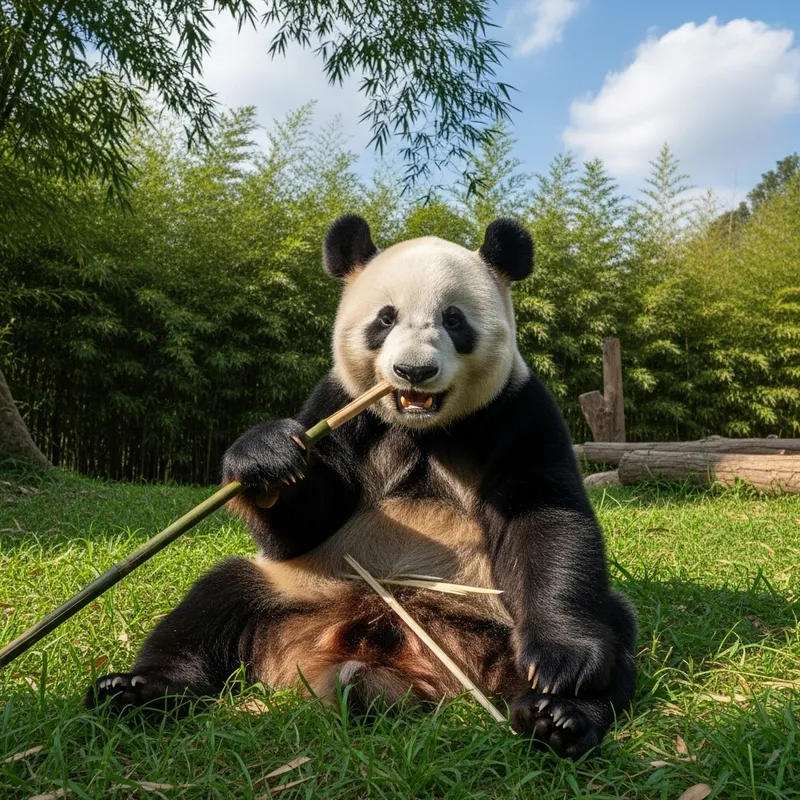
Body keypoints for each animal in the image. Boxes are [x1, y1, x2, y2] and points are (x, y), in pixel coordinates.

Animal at [86, 215, 637, 759]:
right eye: (385, 319)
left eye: (454, 319)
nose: (414, 371)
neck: (422, 427)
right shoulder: (338, 406)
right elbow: (302, 524)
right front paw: (266, 457)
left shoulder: (517, 410)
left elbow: (544, 515)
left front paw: (560, 666)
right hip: (300, 587)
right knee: (212, 602)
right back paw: (137, 690)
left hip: (494, 617)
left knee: (613, 624)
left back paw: (556, 716)